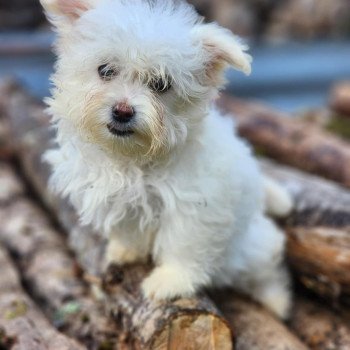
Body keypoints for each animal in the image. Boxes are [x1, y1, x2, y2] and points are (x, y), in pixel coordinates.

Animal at [40, 0, 292, 318]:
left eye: (160, 84)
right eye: (105, 70)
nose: (123, 111)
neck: (132, 158)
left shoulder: (197, 206)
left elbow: (184, 244)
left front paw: (171, 281)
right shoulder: (120, 198)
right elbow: (129, 229)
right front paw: (127, 251)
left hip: (253, 245)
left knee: (268, 268)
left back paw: (277, 301)